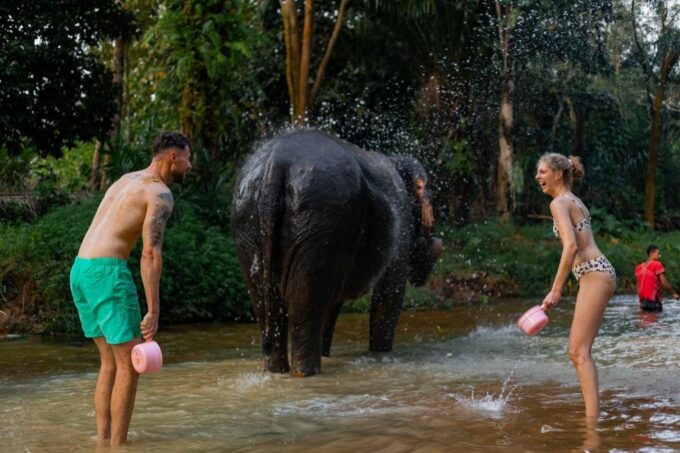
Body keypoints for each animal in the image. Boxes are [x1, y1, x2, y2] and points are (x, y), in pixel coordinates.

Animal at [231, 129, 442, 377]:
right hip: (321, 217)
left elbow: (333, 302)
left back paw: (276, 372)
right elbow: (389, 293)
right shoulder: (401, 222)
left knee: (269, 309)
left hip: (247, 218)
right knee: (306, 310)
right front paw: (381, 354)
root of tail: (276, 162)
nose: (438, 245)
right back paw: (306, 374)